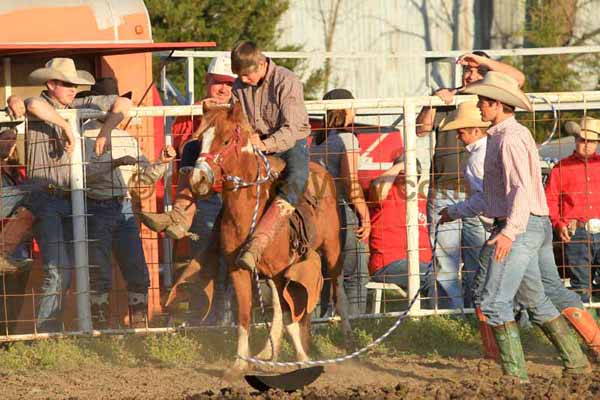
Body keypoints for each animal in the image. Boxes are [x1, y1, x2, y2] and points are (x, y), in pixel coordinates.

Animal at [185, 101, 350, 370]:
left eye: (227, 139)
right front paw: (240, 362)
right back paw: (267, 351)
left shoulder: (283, 270)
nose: (198, 179)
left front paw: (303, 358)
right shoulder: (239, 270)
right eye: (200, 140)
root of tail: (321, 171)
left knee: (337, 287)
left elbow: (291, 315)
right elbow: (245, 317)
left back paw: (347, 335)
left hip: (332, 246)